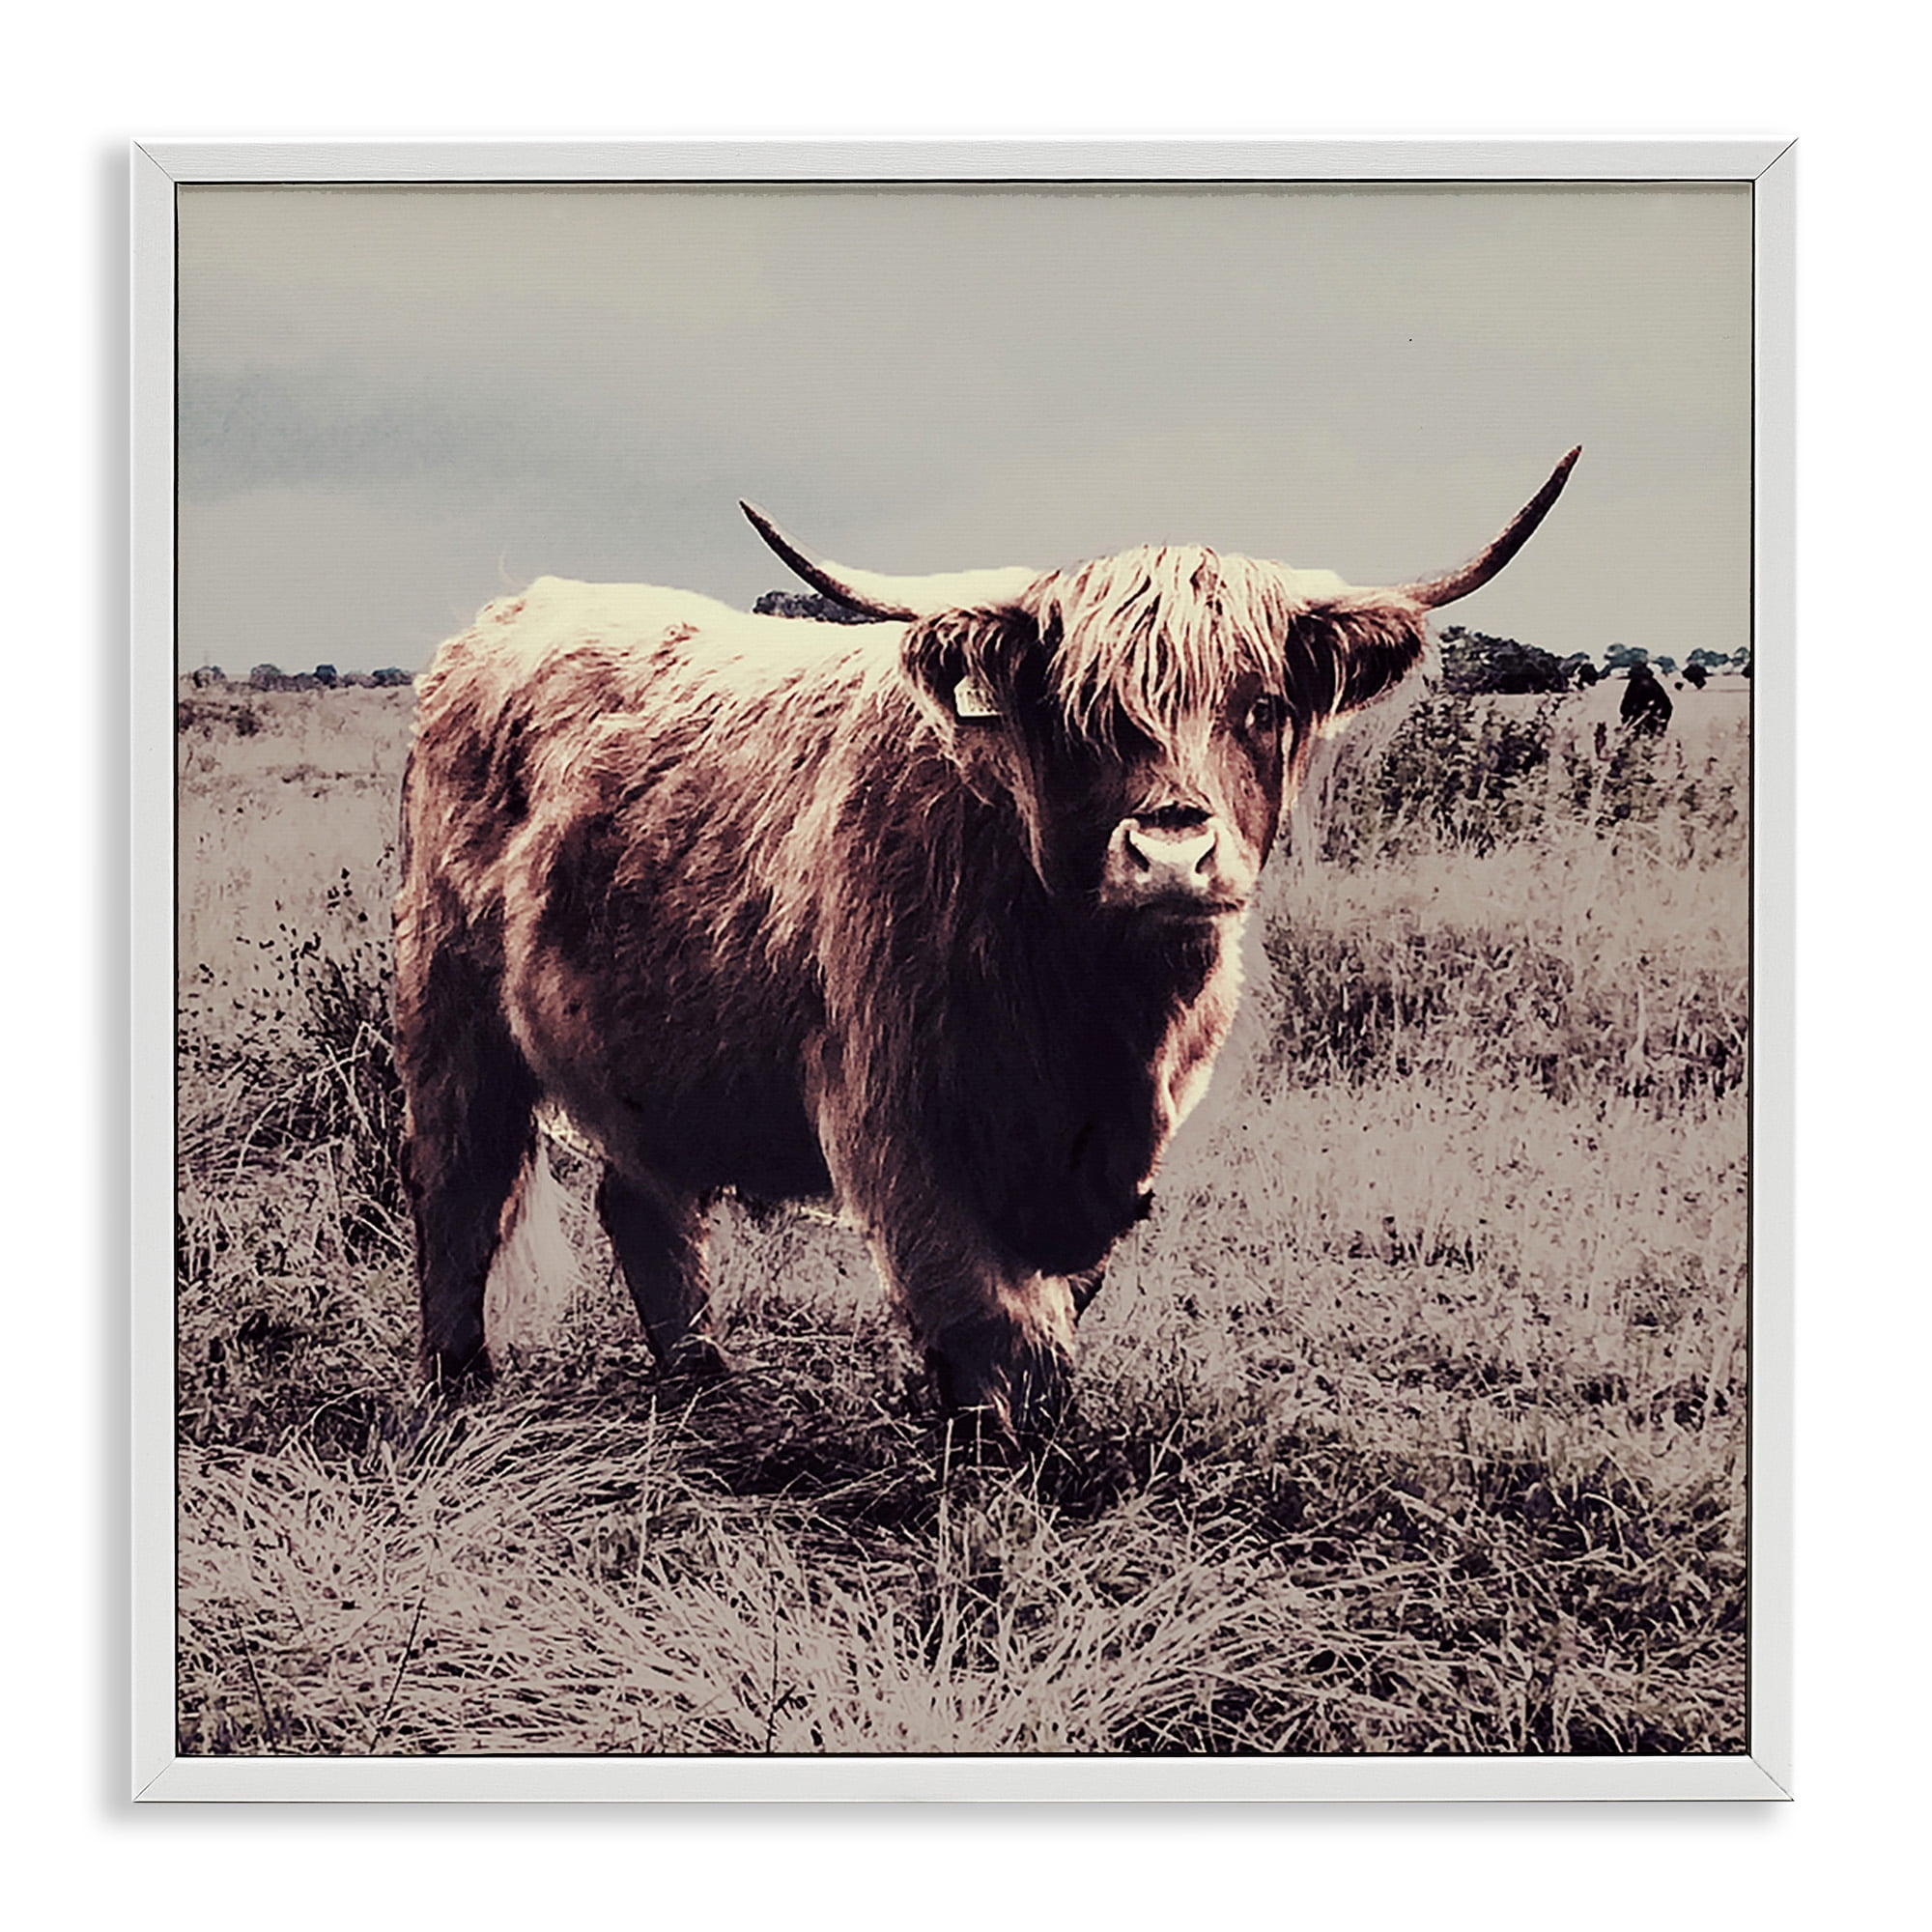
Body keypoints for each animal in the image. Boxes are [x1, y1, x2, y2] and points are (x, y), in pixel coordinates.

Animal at [394, 449, 1579, 1439]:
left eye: (1260, 706)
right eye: (1079, 716)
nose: (1170, 853)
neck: (1094, 1016)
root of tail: (508, 614)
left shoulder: (1116, 1153)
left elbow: (1054, 1302)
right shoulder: (895, 1118)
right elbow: (992, 1318)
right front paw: (994, 1456)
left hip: (645, 1050)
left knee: (641, 1198)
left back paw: (702, 1382)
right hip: (449, 1007)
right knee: (459, 1182)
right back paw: (460, 1386)